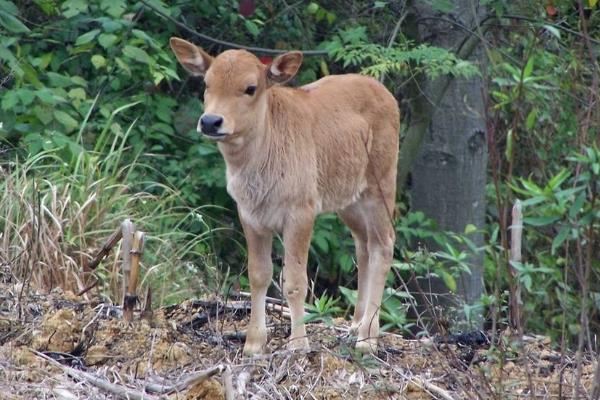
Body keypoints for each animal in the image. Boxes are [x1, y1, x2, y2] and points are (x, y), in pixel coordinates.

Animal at [170, 37, 398, 354]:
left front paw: (298, 343)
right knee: (364, 246)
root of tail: (387, 95)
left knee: (384, 245)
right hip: (349, 199)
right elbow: (258, 275)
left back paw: (367, 338)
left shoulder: (301, 211)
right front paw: (254, 343)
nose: (211, 121)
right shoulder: (249, 215)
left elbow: (295, 280)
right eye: (206, 83)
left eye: (250, 87)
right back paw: (354, 326)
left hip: (382, 184)